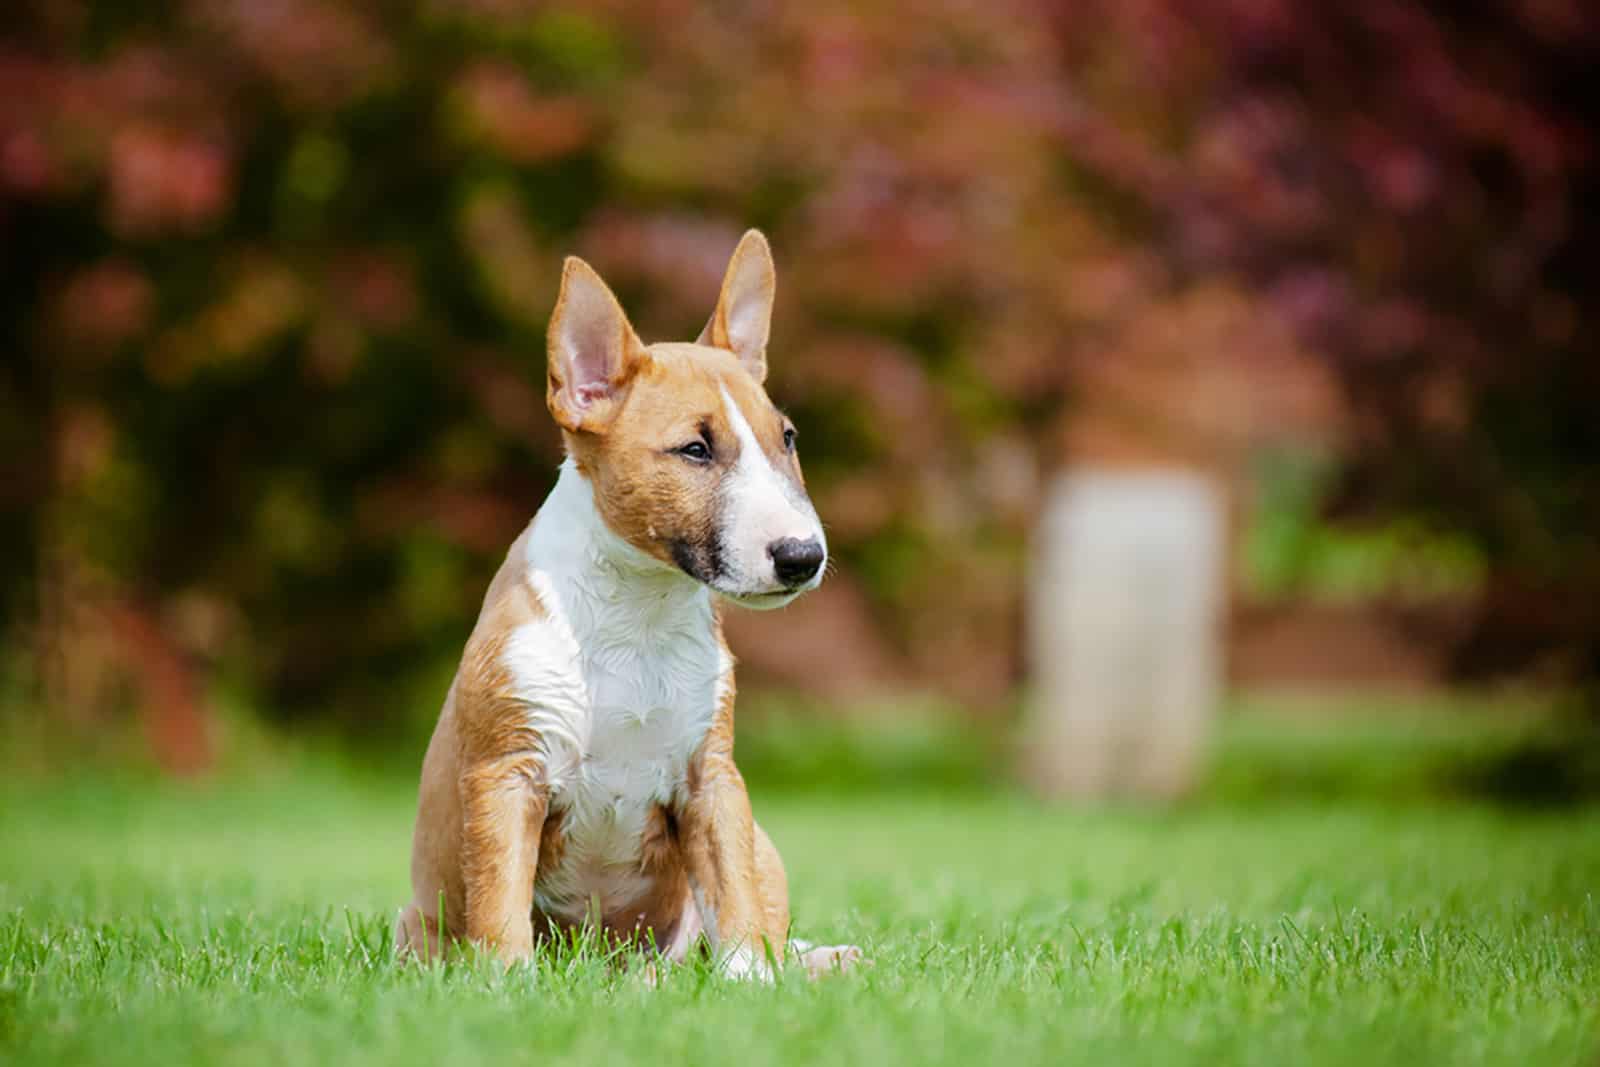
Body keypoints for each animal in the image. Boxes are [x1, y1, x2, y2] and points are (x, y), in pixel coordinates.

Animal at [398, 230, 864, 979]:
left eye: (787, 439)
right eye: (695, 449)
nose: (802, 557)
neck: (637, 613)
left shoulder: (712, 778)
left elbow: (736, 896)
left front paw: (752, 982)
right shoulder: (507, 774)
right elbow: (499, 902)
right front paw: (506, 985)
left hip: (759, 843)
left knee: (758, 913)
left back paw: (820, 959)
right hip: (418, 922)